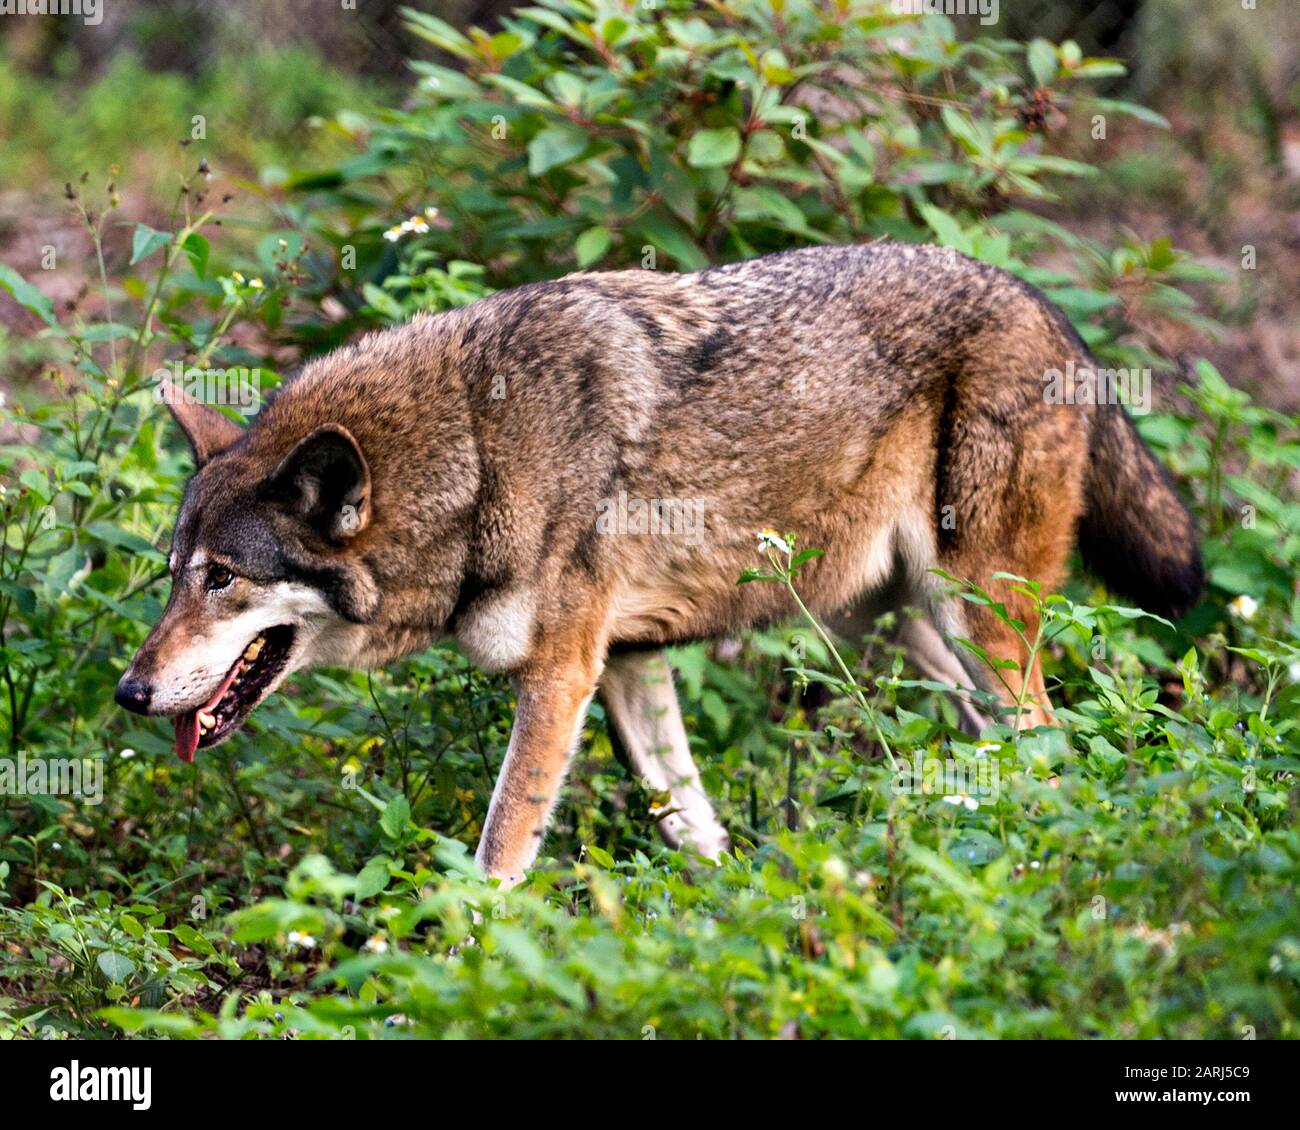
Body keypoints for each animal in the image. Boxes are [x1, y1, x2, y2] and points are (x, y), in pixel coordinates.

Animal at [116, 241, 1201, 884]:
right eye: (173, 571)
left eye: (222, 577)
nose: (128, 691)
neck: (476, 448)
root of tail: (1039, 298)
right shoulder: (630, 661)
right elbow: (691, 823)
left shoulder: (562, 672)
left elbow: (498, 854)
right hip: (899, 631)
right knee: (998, 751)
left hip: (972, 615)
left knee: (1048, 744)